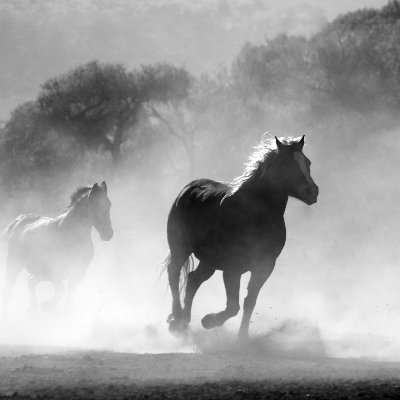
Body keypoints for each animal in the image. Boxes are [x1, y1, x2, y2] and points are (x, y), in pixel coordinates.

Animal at [2, 181, 113, 316]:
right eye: (96, 206)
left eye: (109, 204)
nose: (108, 234)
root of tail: (20, 220)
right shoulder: (55, 271)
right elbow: (61, 290)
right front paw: (47, 306)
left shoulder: (78, 273)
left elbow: (69, 296)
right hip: (14, 264)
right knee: (10, 286)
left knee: (30, 280)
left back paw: (32, 308)